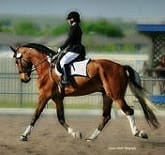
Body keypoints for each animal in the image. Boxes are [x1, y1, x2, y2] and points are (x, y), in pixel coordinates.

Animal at [10, 42, 159, 142]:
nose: (24, 79)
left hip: (116, 95)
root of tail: (121, 67)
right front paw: (76, 133)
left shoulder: (45, 95)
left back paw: (139, 133)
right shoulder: (57, 98)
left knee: (128, 111)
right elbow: (60, 118)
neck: (46, 67)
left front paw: (24, 135)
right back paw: (91, 137)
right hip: (107, 95)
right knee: (106, 116)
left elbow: (35, 115)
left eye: (17, 61)